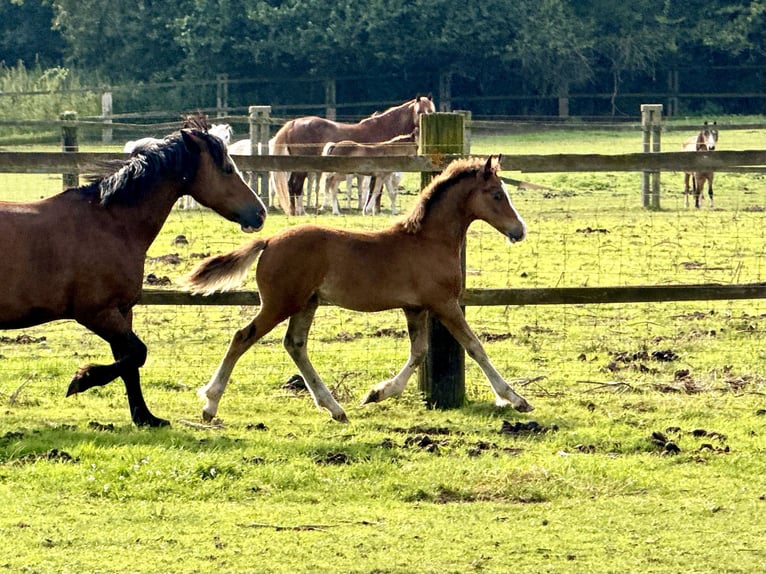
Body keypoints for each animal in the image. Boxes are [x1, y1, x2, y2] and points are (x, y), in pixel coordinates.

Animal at [0, 122, 268, 428]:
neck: (111, 223)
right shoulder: (97, 313)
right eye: (226, 168)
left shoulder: (122, 311)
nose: (260, 213)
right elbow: (139, 353)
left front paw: (146, 417)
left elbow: (130, 363)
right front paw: (82, 379)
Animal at [184, 155, 536, 426]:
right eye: (496, 194)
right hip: (280, 304)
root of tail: (268, 241)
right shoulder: (444, 304)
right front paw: (515, 399)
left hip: (307, 303)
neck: (428, 241)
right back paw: (210, 404)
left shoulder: (415, 307)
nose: (519, 231)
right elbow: (475, 347)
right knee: (242, 337)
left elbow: (419, 352)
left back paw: (335, 409)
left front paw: (377, 393)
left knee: (295, 344)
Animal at [272, 95, 436, 216]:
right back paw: (300, 211)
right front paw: (375, 211)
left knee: (292, 185)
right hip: (302, 166)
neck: (384, 128)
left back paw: (295, 211)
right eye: (419, 111)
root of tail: (293, 123)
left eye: (432, 111)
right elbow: (376, 191)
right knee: (296, 186)